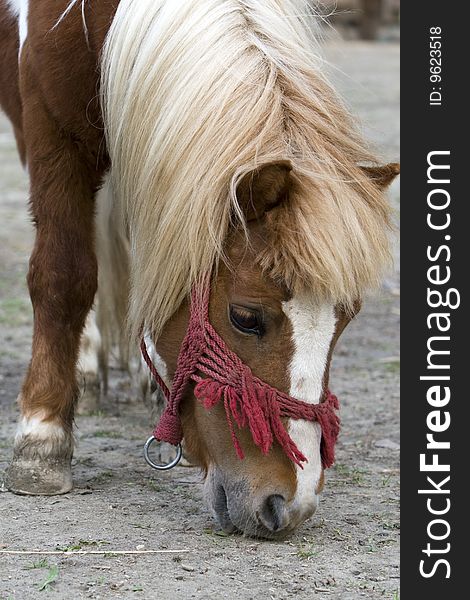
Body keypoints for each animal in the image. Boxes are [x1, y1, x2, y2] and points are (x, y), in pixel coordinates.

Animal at [0, 0, 398, 536]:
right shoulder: (50, 127)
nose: (289, 506)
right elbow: (65, 272)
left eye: (346, 319)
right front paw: (41, 436)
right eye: (245, 317)